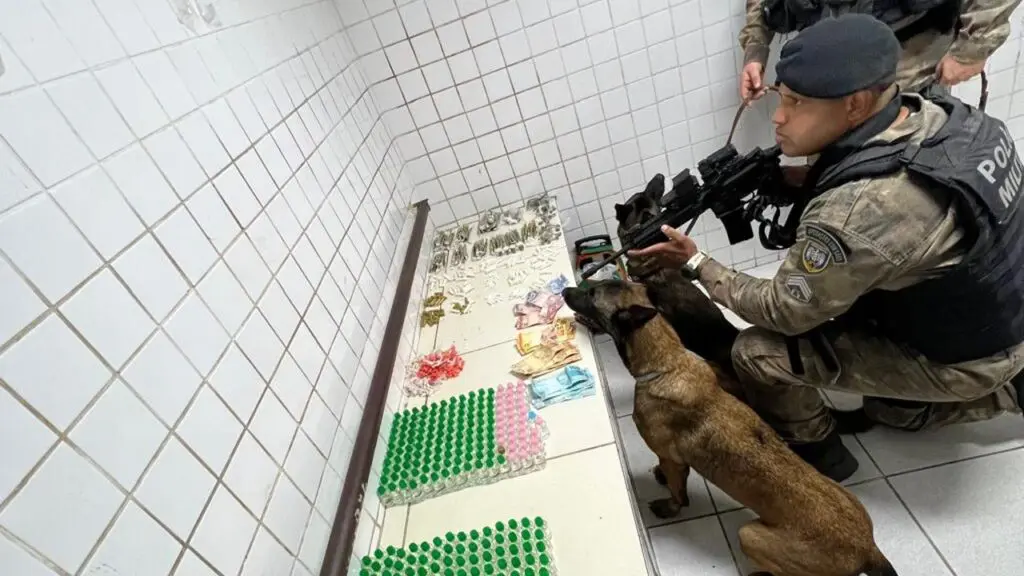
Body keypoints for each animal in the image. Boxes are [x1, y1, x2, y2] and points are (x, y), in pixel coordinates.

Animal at [565, 280, 892, 569]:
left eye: (592, 293)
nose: (564, 290)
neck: (666, 361)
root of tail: (868, 549)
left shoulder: (673, 460)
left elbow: (678, 493)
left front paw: (669, 504)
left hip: (749, 535)